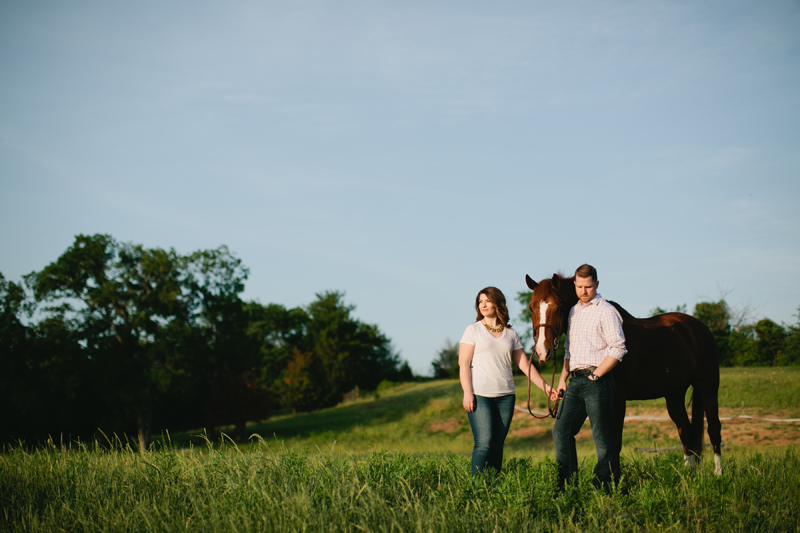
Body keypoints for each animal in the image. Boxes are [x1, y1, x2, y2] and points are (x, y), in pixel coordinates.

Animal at [528, 272, 720, 476]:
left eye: (557, 307)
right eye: (531, 308)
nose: (543, 352)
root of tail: (700, 328)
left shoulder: (617, 399)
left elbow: (615, 442)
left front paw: (616, 480)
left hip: (708, 386)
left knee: (714, 428)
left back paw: (719, 473)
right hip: (674, 394)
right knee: (685, 430)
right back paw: (689, 474)